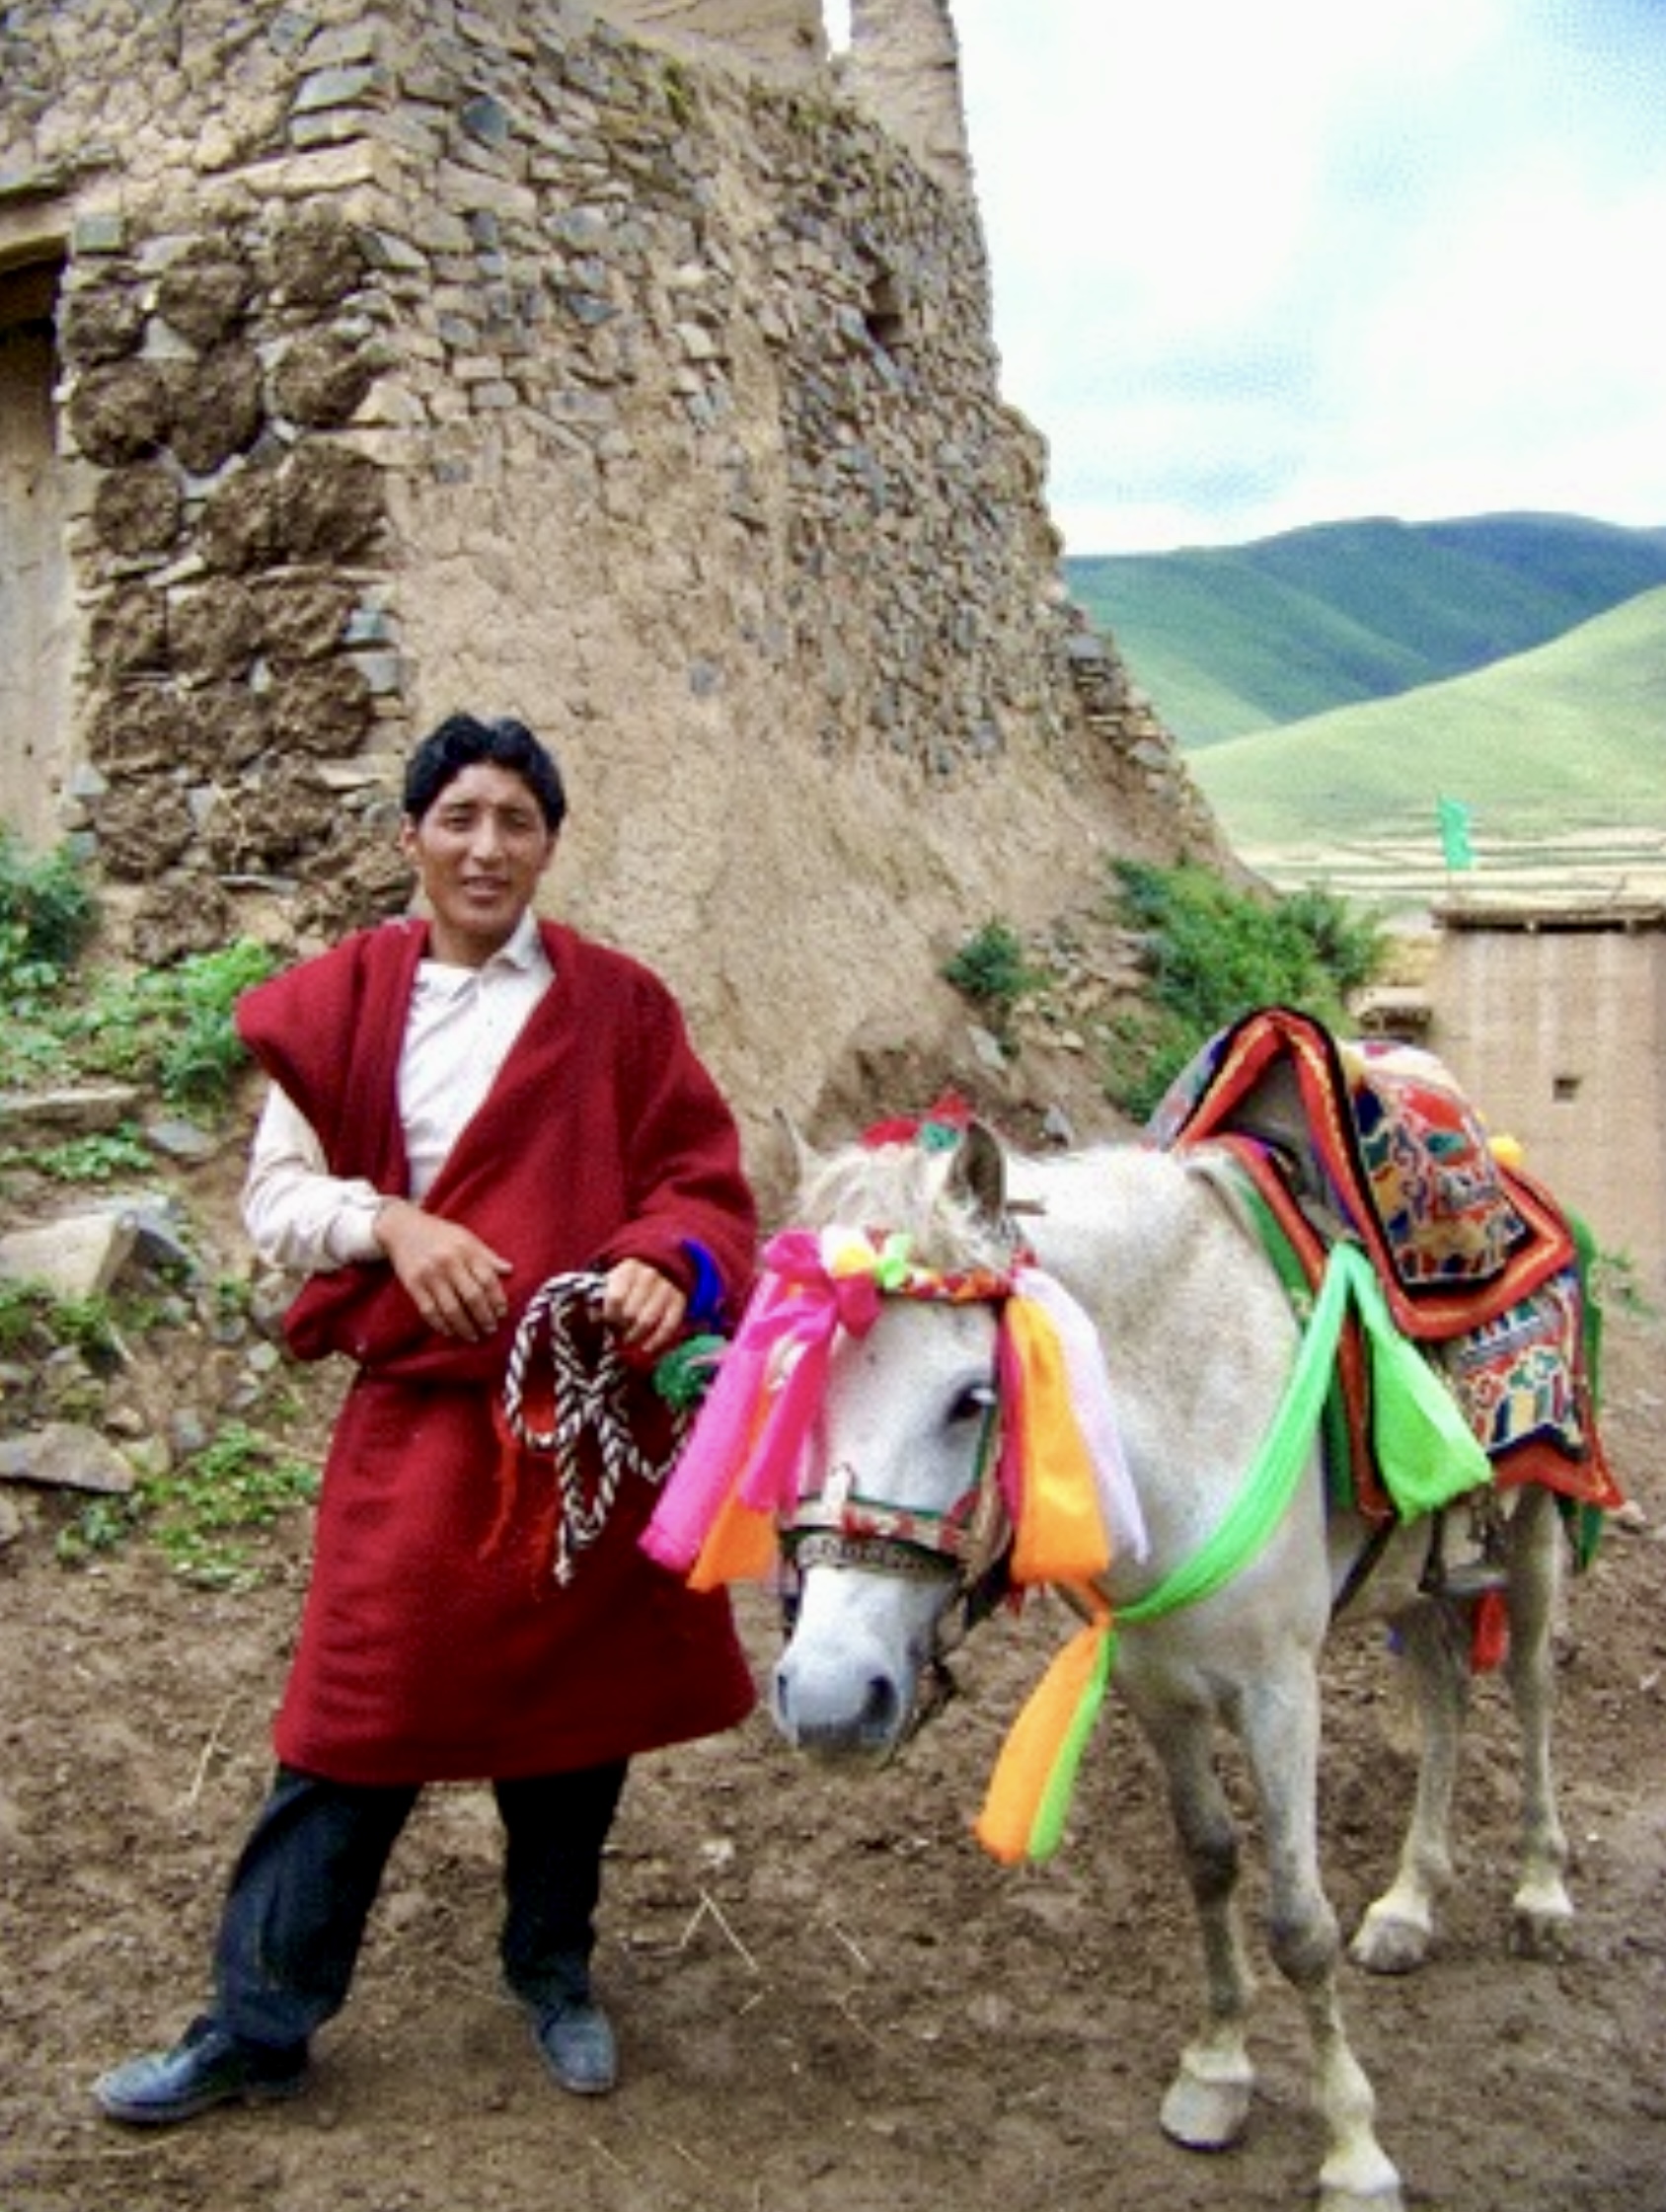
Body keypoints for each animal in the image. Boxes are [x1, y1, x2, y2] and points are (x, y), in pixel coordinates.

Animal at [698, 1108, 1601, 2212]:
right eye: (780, 1388)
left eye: (971, 1397)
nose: (830, 1701)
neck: (1189, 1408)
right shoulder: (1156, 1687)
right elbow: (1208, 1862)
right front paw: (1214, 2075)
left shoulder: (1279, 1693)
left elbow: (1297, 1919)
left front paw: (1353, 2150)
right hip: (1423, 1569)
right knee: (1443, 1695)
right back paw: (1408, 1904)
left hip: (1533, 1529)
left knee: (1529, 1689)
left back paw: (1540, 1895)